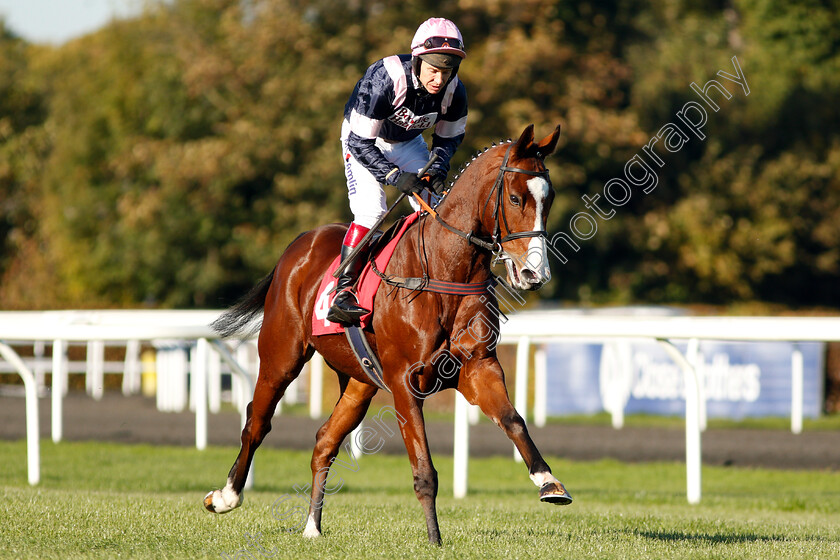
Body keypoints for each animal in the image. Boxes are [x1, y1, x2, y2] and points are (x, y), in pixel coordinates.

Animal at [203, 121, 572, 544]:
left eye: (549, 198)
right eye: (514, 197)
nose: (534, 274)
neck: (445, 271)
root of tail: (299, 244)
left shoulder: (478, 368)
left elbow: (513, 420)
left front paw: (549, 482)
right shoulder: (404, 380)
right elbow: (424, 469)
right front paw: (434, 539)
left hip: (360, 381)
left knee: (324, 440)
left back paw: (312, 526)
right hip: (281, 356)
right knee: (257, 422)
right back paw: (226, 496)